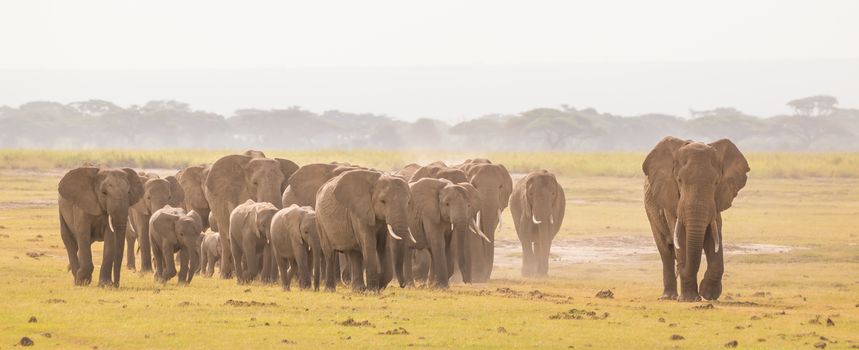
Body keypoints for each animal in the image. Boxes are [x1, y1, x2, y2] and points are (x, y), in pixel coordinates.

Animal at [205, 152, 298, 280]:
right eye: (255, 183)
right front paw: (248, 276)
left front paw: (266, 279)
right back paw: (227, 276)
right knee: (226, 240)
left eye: (282, 183)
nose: (274, 279)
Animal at [640, 137, 748, 300]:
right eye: (679, 180)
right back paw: (669, 297)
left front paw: (708, 293)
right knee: (665, 251)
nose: (681, 268)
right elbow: (680, 237)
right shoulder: (671, 199)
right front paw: (689, 299)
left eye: (716, 182)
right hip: (650, 212)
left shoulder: (716, 201)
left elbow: (714, 236)